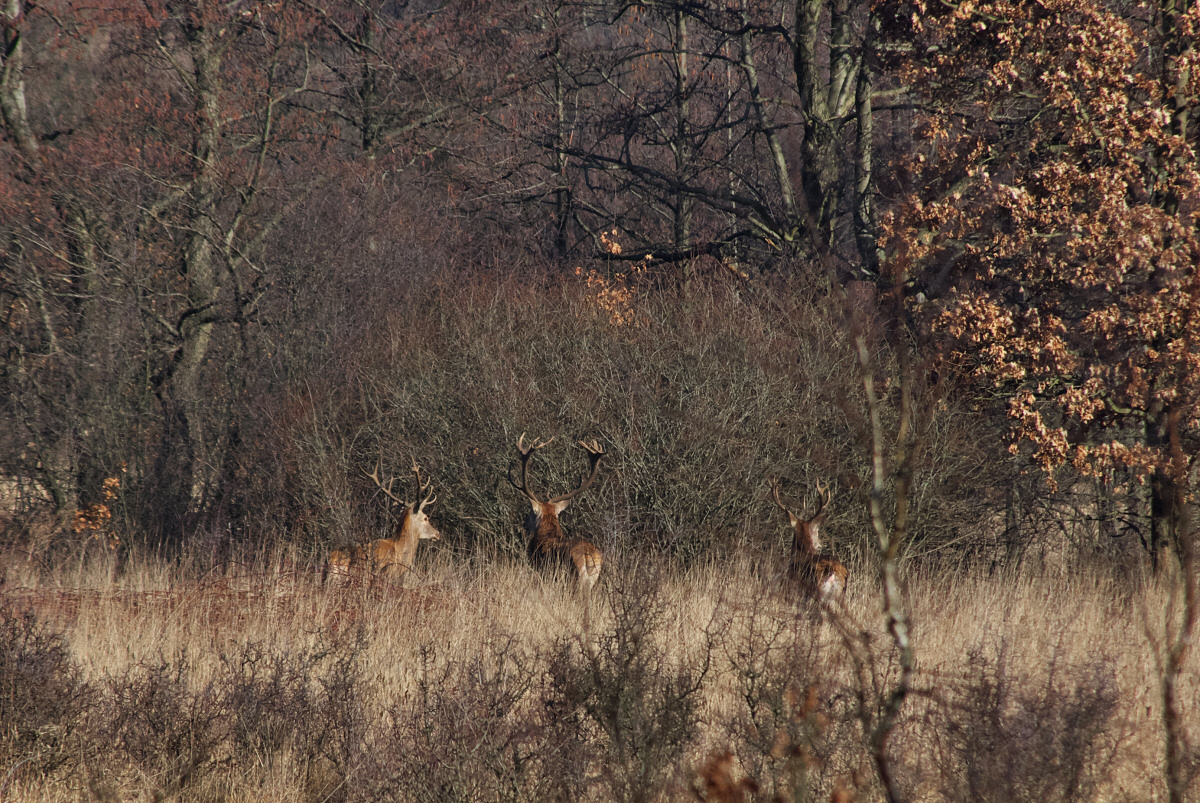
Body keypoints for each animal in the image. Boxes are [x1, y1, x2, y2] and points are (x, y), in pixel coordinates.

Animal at [506, 434, 604, 592]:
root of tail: (589, 557)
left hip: (572, 578)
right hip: (592, 581)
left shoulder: (541, 571)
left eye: (531, 512)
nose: (524, 524)